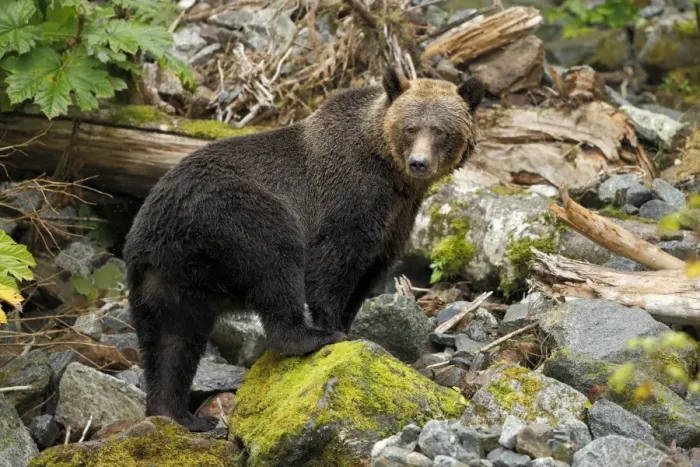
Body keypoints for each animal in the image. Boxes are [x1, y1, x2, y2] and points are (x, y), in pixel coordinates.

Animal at [122, 67, 485, 432]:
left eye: (441, 131)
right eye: (410, 128)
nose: (419, 163)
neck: (391, 175)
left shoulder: (395, 222)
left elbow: (367, 275)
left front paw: (347, 325)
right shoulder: (349, 196)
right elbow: (332, 263)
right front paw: (333, 330)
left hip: (166, 278)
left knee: (170, 341)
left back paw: (180, 415)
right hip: (233, 215)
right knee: (275, 264)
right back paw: (306, 337)